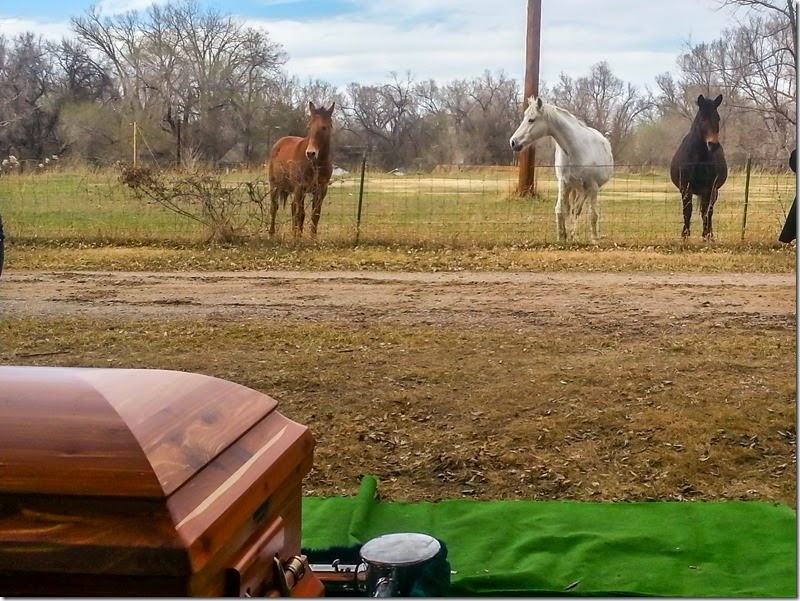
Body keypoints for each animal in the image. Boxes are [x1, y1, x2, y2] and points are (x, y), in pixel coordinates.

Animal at [268, 101, 335, 238]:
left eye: (324, 127)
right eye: (309, 127)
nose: (310, 153)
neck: (315, 164)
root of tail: (279, 143)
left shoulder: (321, 191)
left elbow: (315, 215)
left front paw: (312, 237)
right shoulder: (300, 188)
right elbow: (301, 214)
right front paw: (299, 237)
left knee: (293, 208)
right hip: (275, 185)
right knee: (274, 207)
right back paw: (272, 233)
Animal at [509, 96, 614, 243]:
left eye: (531, 119)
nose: (513, 142)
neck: (577, 149)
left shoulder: (592, 187)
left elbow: (593, 215)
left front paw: (594, 240)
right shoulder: (563, 183)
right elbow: (560, 210)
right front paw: (561, 237)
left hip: (585, 190)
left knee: (577, 209)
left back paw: (575, 235)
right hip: (574, 188)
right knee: (573, 209)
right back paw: (571, 235)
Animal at [669, 94, 727, 240]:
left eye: (717, 118)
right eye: (702, 118)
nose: (713, 144)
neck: (697, 160)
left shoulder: (709, 189)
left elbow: (706, 212)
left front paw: (707, 235)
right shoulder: (685, 188)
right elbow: (687, 211)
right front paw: (685, 235)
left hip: (713, 192)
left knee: (707, 211)